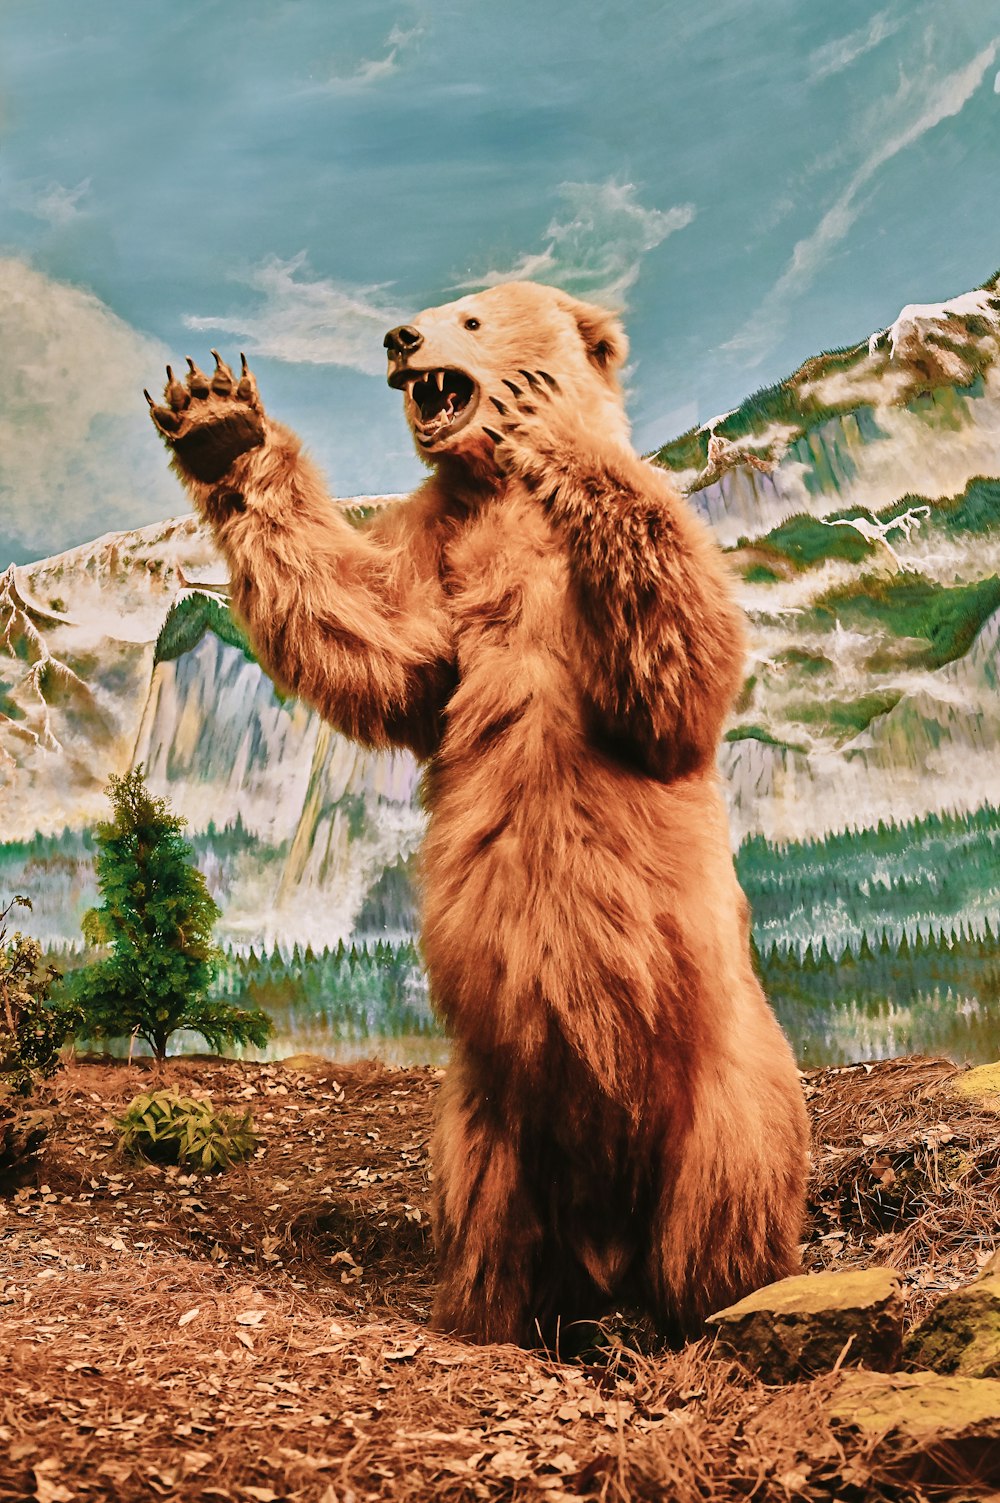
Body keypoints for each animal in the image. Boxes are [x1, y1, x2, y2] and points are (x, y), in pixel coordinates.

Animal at [144, 284, 806, 1352]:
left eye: (473, 317)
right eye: (435, 308)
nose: (399, 335)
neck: (498, 489)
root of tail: (609, 1244)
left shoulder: (638, 566)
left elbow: (679, 671)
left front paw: (548, 424)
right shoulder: (439, 545)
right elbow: (384, 634)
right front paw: (218, 423)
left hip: (723, 1077)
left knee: (726, 1183)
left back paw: (713, 1300)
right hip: (484, 1109)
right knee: (489, 1202)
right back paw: (497, 1311)